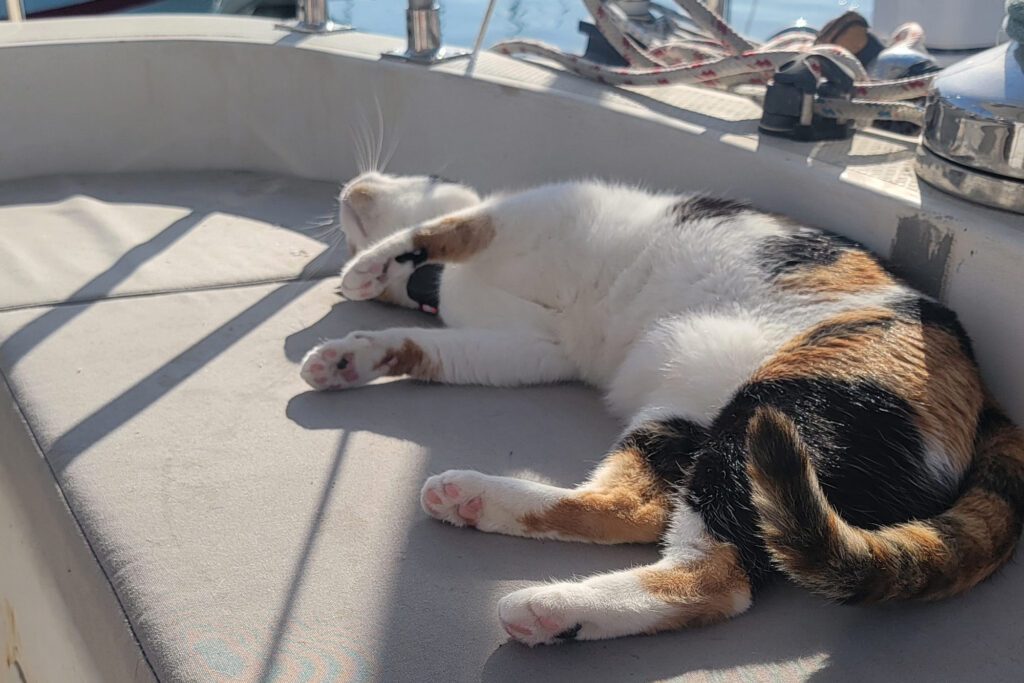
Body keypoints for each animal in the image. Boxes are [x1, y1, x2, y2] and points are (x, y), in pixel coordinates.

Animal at [299, 171, 1024, 647]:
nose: (352, 186)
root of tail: (989, 398)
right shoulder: (528, 346)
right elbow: (435, 347)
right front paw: (352, 356)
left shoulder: (533, 214)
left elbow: (446, 227)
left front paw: (367, 268)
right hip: (683, 412)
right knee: (631, 508)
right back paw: (484, 511)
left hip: (773, 417)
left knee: (718, 577)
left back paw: (544, 601)